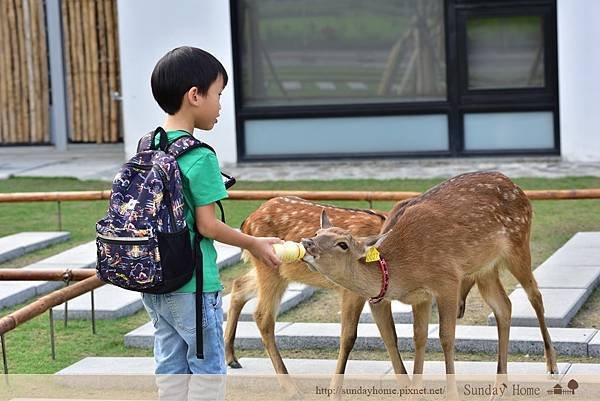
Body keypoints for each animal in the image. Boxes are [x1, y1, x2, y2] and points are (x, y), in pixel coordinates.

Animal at [302, 173, 560, 394]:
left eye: (343, 244)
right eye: (317, 233)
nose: (307, 242)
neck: (402, 273)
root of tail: (518, 188)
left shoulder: (447, 280)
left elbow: (446, 337)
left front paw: (451, 393)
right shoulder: (420, 297)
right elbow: (417, 337)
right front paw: (415, 390)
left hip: (518, 243)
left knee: (535, 295)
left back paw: (551, 365)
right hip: (485, 268)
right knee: (504, 306)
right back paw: (499, 386)